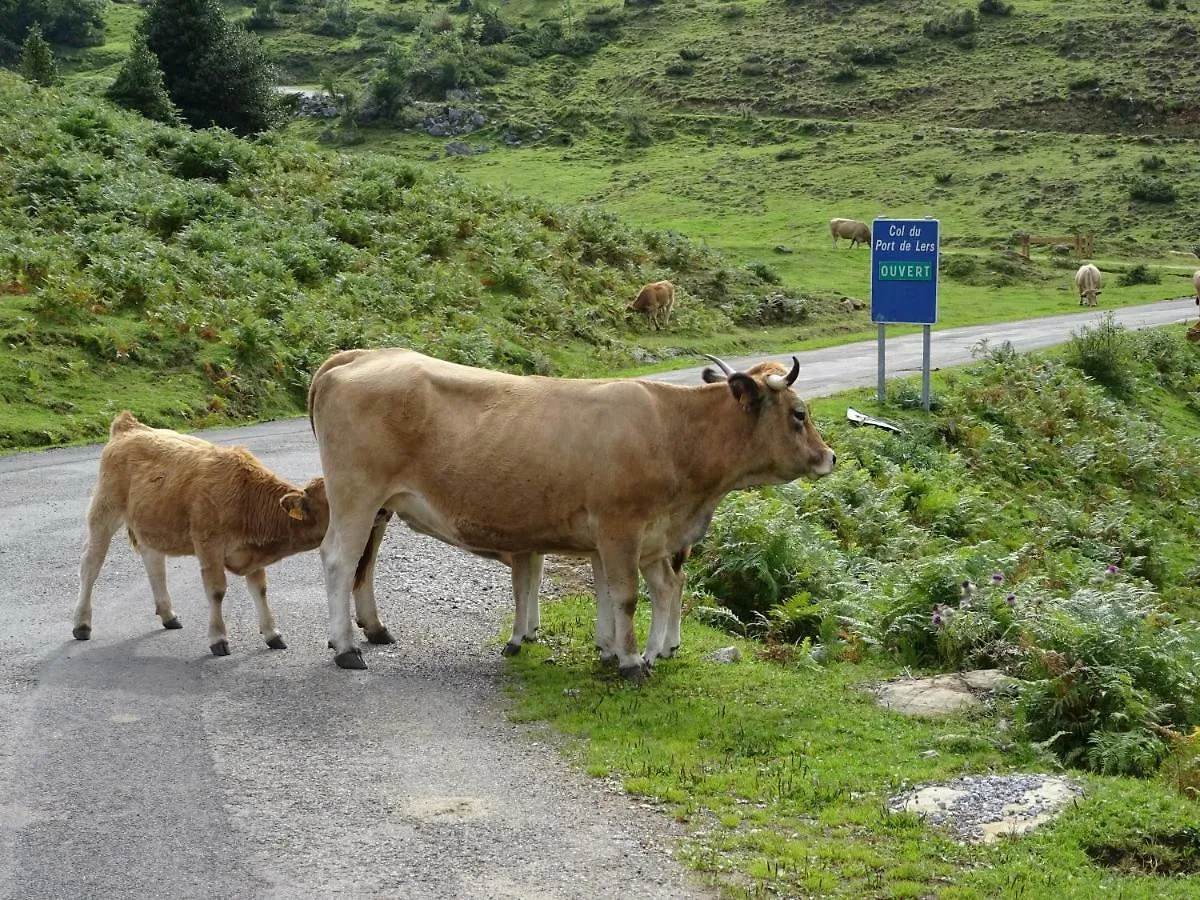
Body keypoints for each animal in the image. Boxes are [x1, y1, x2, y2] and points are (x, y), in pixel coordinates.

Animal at [74, 412, 328, 657]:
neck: (247, 498)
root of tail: (129, 426)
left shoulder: (252, 550)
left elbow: (260, 589)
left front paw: (272, 634)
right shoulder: (209, 545)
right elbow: (216, 590)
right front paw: (218, 638)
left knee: (154, 563)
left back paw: (168, 615)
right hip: (104, 511)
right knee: (91, 564)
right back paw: (81, 624)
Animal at [304, 348, 840, 681]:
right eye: (799, 413)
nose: (830, 457)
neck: (673, 431)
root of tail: (357, 355)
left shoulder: (616, 534)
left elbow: (608, 592)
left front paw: (608, 650)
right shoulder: (622, 528)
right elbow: (626, 596)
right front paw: (631, 661)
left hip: (379, 505)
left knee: (362, 564)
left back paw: (367, 634)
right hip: (357, 494)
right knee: (341, 559)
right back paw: (347, 648)